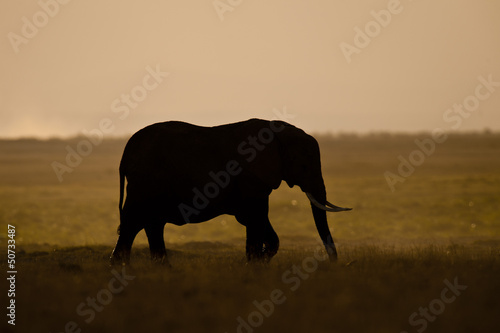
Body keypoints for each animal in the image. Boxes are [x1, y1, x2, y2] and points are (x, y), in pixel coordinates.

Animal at [110, 118, 352, 264]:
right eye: (303, 166)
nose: (332, 263)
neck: (278, 132)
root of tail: (125, 152)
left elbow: (257, 220)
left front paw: (259, 260)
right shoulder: (251, 178)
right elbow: (256, 217)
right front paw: (256, 262)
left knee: (151, 224)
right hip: (144, 183)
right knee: (134, 223)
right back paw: (122, 269)